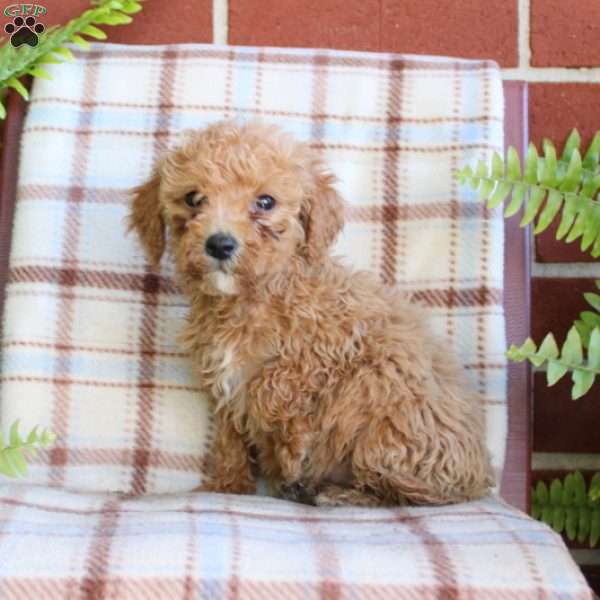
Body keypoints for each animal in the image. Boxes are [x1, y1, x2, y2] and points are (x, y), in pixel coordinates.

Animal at [129, 120, 494, 506]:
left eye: (265, 202)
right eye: (193, 198)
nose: (220, 244)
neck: (250, 298)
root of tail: (476, 481)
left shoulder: (338, 348)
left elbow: (283, 385)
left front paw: (284, 451)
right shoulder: (222, 385)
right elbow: (230, 439)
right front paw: (229, 485)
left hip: (390, 411)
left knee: (405, 492)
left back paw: (340, 494)